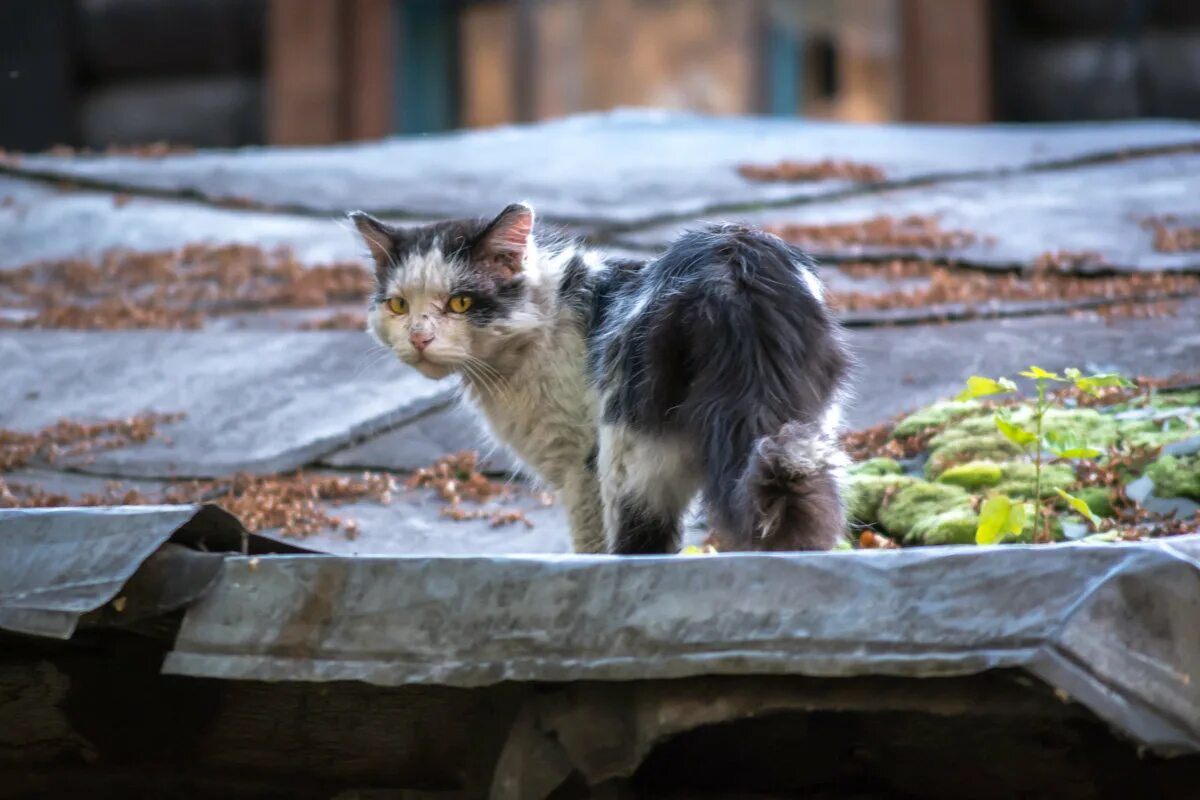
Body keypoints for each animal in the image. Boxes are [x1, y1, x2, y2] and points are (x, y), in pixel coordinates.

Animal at [350, 205, 849, 556]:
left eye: (460, 303)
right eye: (398, 306)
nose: (419, 338)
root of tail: (734, 264)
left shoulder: (579, 467)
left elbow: (588, 542)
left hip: (627, 453)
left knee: (640, 542)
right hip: (801, 430)